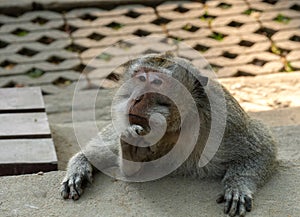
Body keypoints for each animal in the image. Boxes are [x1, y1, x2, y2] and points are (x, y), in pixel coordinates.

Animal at [60, 52, 276, 217]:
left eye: (157, 82)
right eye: (140, 78)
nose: (136, 98)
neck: (179, 124)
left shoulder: (225, 120)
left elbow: (261, 149)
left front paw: (238, 186)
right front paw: (131, 150)